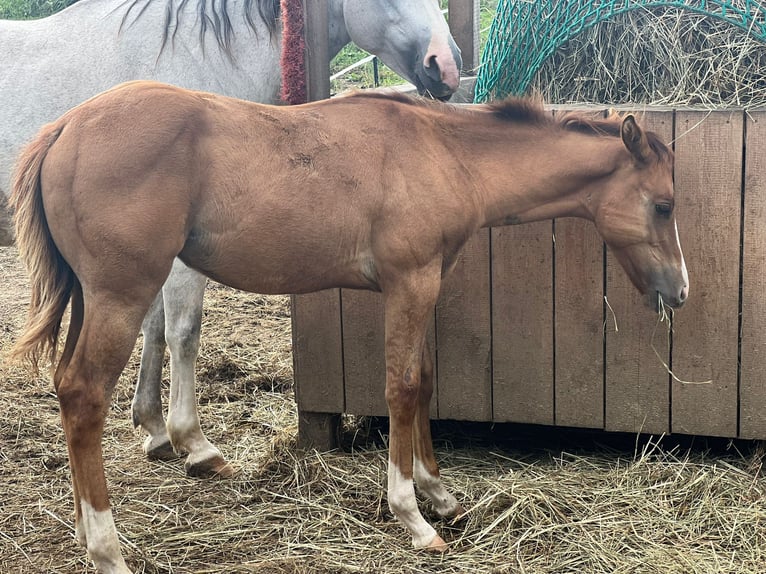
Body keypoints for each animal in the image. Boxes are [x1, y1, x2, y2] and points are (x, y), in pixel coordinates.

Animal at [1, 0, 462, 476]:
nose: (445, 67)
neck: (195, 54)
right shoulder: (174, 263)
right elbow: (183, 332)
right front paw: (194, 442)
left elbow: (154, 329)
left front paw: (155, 429)